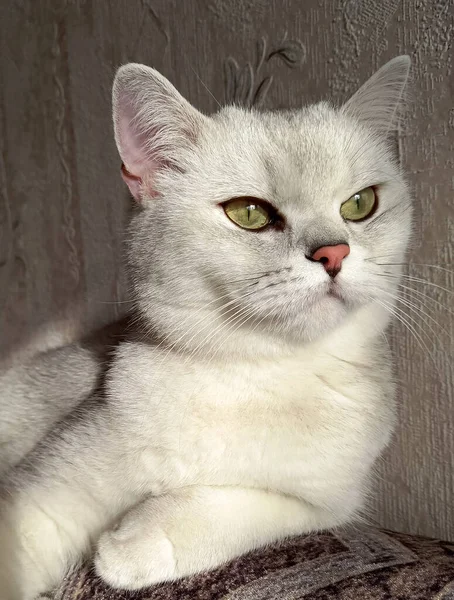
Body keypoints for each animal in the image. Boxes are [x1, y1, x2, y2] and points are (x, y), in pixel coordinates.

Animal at [0, 57, 412, 600]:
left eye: (360, 204)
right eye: (249, 213)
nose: (333, 253)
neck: (255, 373)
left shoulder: (332, 501)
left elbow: (246, 504)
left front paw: (133, 543)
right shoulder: (39, 500)